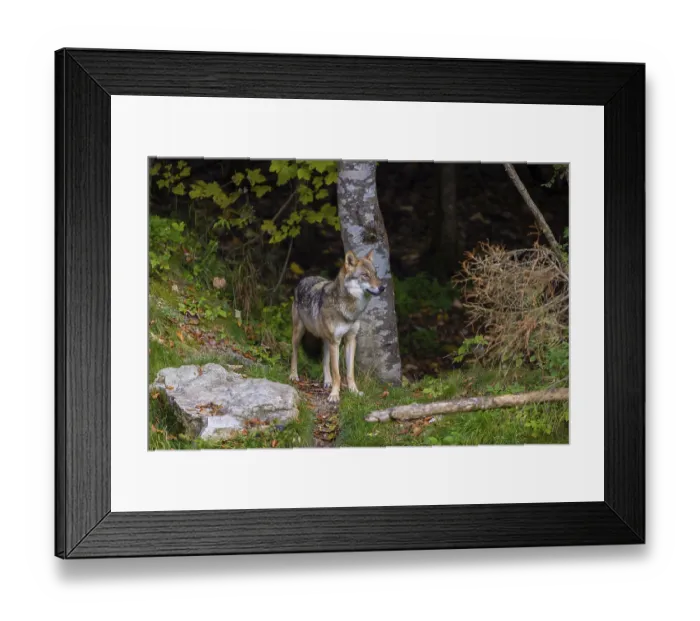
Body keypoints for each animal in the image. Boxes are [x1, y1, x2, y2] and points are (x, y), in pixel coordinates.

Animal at [289, 249, 386, 403]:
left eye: (375, 274)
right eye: (365, 275)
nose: (383, 287)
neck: (349, 309)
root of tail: (305, 278)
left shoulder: (350, 340)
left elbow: (349, 373)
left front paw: (354, 391)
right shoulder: (336, 341)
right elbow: (337, 374)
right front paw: (334, 395)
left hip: (326, 341)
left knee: (325, 361)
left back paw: (327, 381)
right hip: (299, 333)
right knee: (294, 353)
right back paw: (293, 375)